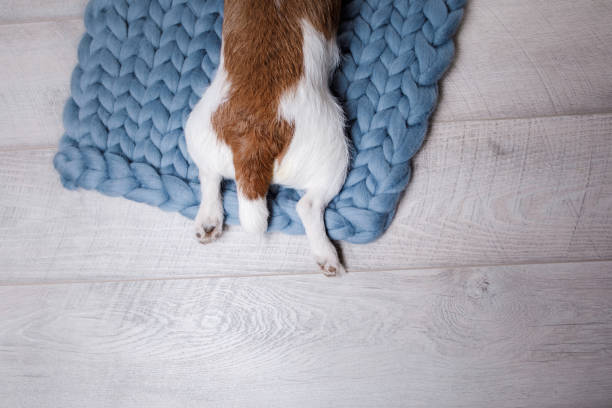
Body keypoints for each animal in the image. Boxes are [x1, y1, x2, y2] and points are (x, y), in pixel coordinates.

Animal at [185, 0, 350, 276]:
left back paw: (208, 221)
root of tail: (253, 141)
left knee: (209, 177)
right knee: (308, 206)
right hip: (335, 155)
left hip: (198, 127)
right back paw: (327, 257)